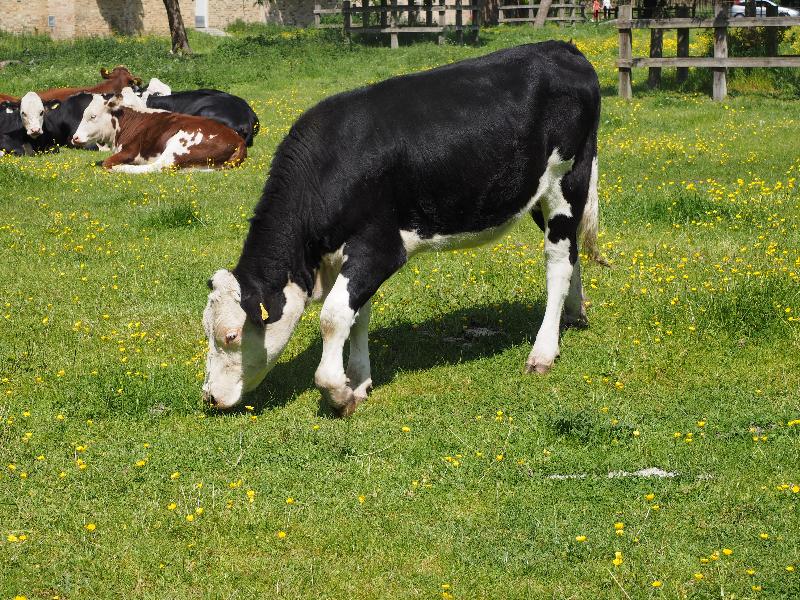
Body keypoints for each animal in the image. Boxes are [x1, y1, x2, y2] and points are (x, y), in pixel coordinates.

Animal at [71, 93, 247, 173]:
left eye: (93, 116)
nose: (75, 137)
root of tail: (238, 139)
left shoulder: (130, 151)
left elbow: (106, 162)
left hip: (178, 145)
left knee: (157, 166)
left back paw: (123, 168)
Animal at [201, 41, 603, 417]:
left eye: (230, 335)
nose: (209, 397)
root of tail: (560, 47)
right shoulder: (353, 254)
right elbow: (357, 315)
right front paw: (359, 381)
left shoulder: (379, 247)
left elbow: (333, 317)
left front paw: (338, 393)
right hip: (536, 193)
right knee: (571, 250)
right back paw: (574, 312)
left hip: (567, 179)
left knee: (558, 260)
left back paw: (543, 352)